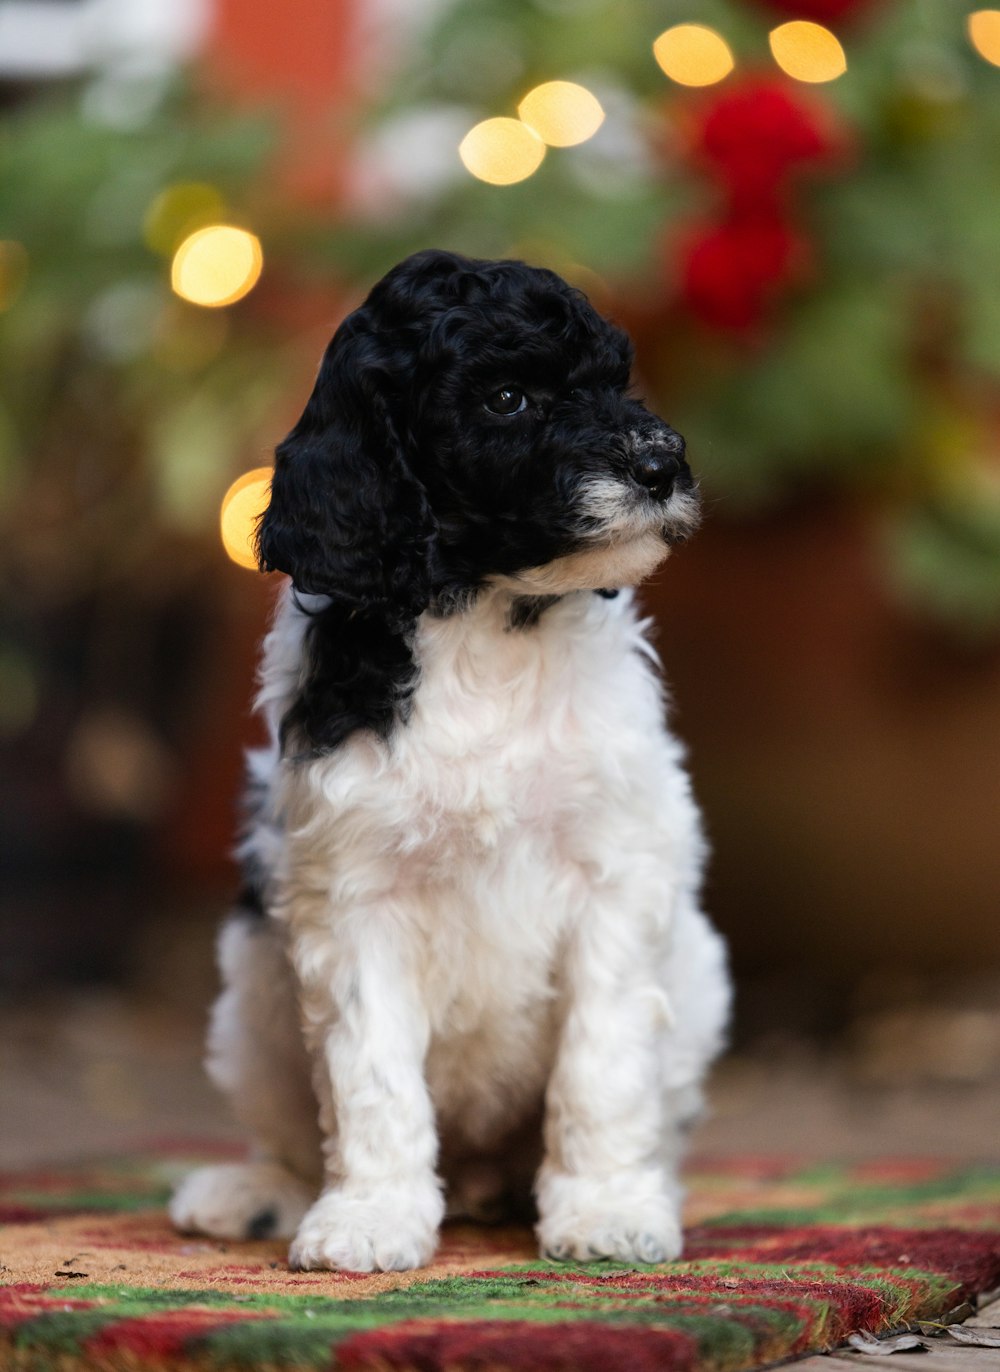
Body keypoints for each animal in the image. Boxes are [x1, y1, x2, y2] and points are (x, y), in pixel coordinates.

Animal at [171, 249, 724, 1273]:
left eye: (614, 379)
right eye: (507, 397)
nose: (662, 464)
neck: (490, 625)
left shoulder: (619, 876)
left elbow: (603, 1065)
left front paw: (607, 1209)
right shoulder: (352, 899)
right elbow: (370, 1072)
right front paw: (370, 1217)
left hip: (698, 973)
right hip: (252, 989)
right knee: (288, 1131)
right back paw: (257, 1192)